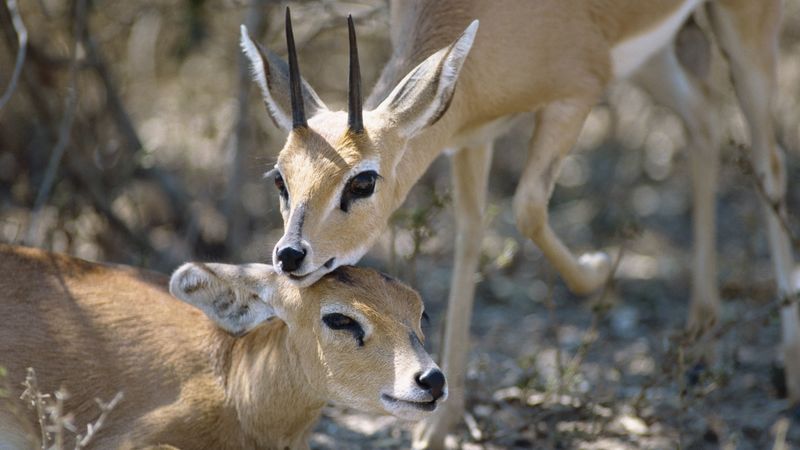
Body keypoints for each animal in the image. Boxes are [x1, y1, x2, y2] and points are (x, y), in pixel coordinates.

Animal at [241, 2, 797, 446]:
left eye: (363, 181)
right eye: (280, 178)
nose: (290, 255)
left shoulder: (577, 94)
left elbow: (528, 207)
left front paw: (599, 268)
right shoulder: (469, 135)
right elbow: (469, 239)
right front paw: (438, 427)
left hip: (743, 30)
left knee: (768, 159)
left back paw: (786, 368)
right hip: (655, 57)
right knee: (703, 119)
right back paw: (701, 337)